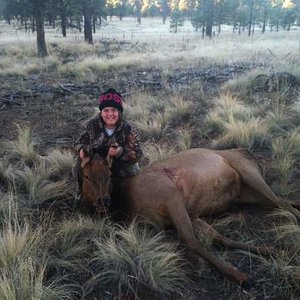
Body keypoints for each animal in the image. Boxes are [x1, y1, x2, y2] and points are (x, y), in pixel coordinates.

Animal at [79, 148, 300, 286]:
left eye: (108, 174)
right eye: (86, 176)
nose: (103, 201)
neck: (127, 205)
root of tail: (248, 153)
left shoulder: (171, 195)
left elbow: (192, 241)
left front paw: (240, 276)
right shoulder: (191, 213)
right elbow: (220, 238)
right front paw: (271, 250)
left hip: (249, 173)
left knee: (283, 203)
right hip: (247, 195)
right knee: (284, 201)